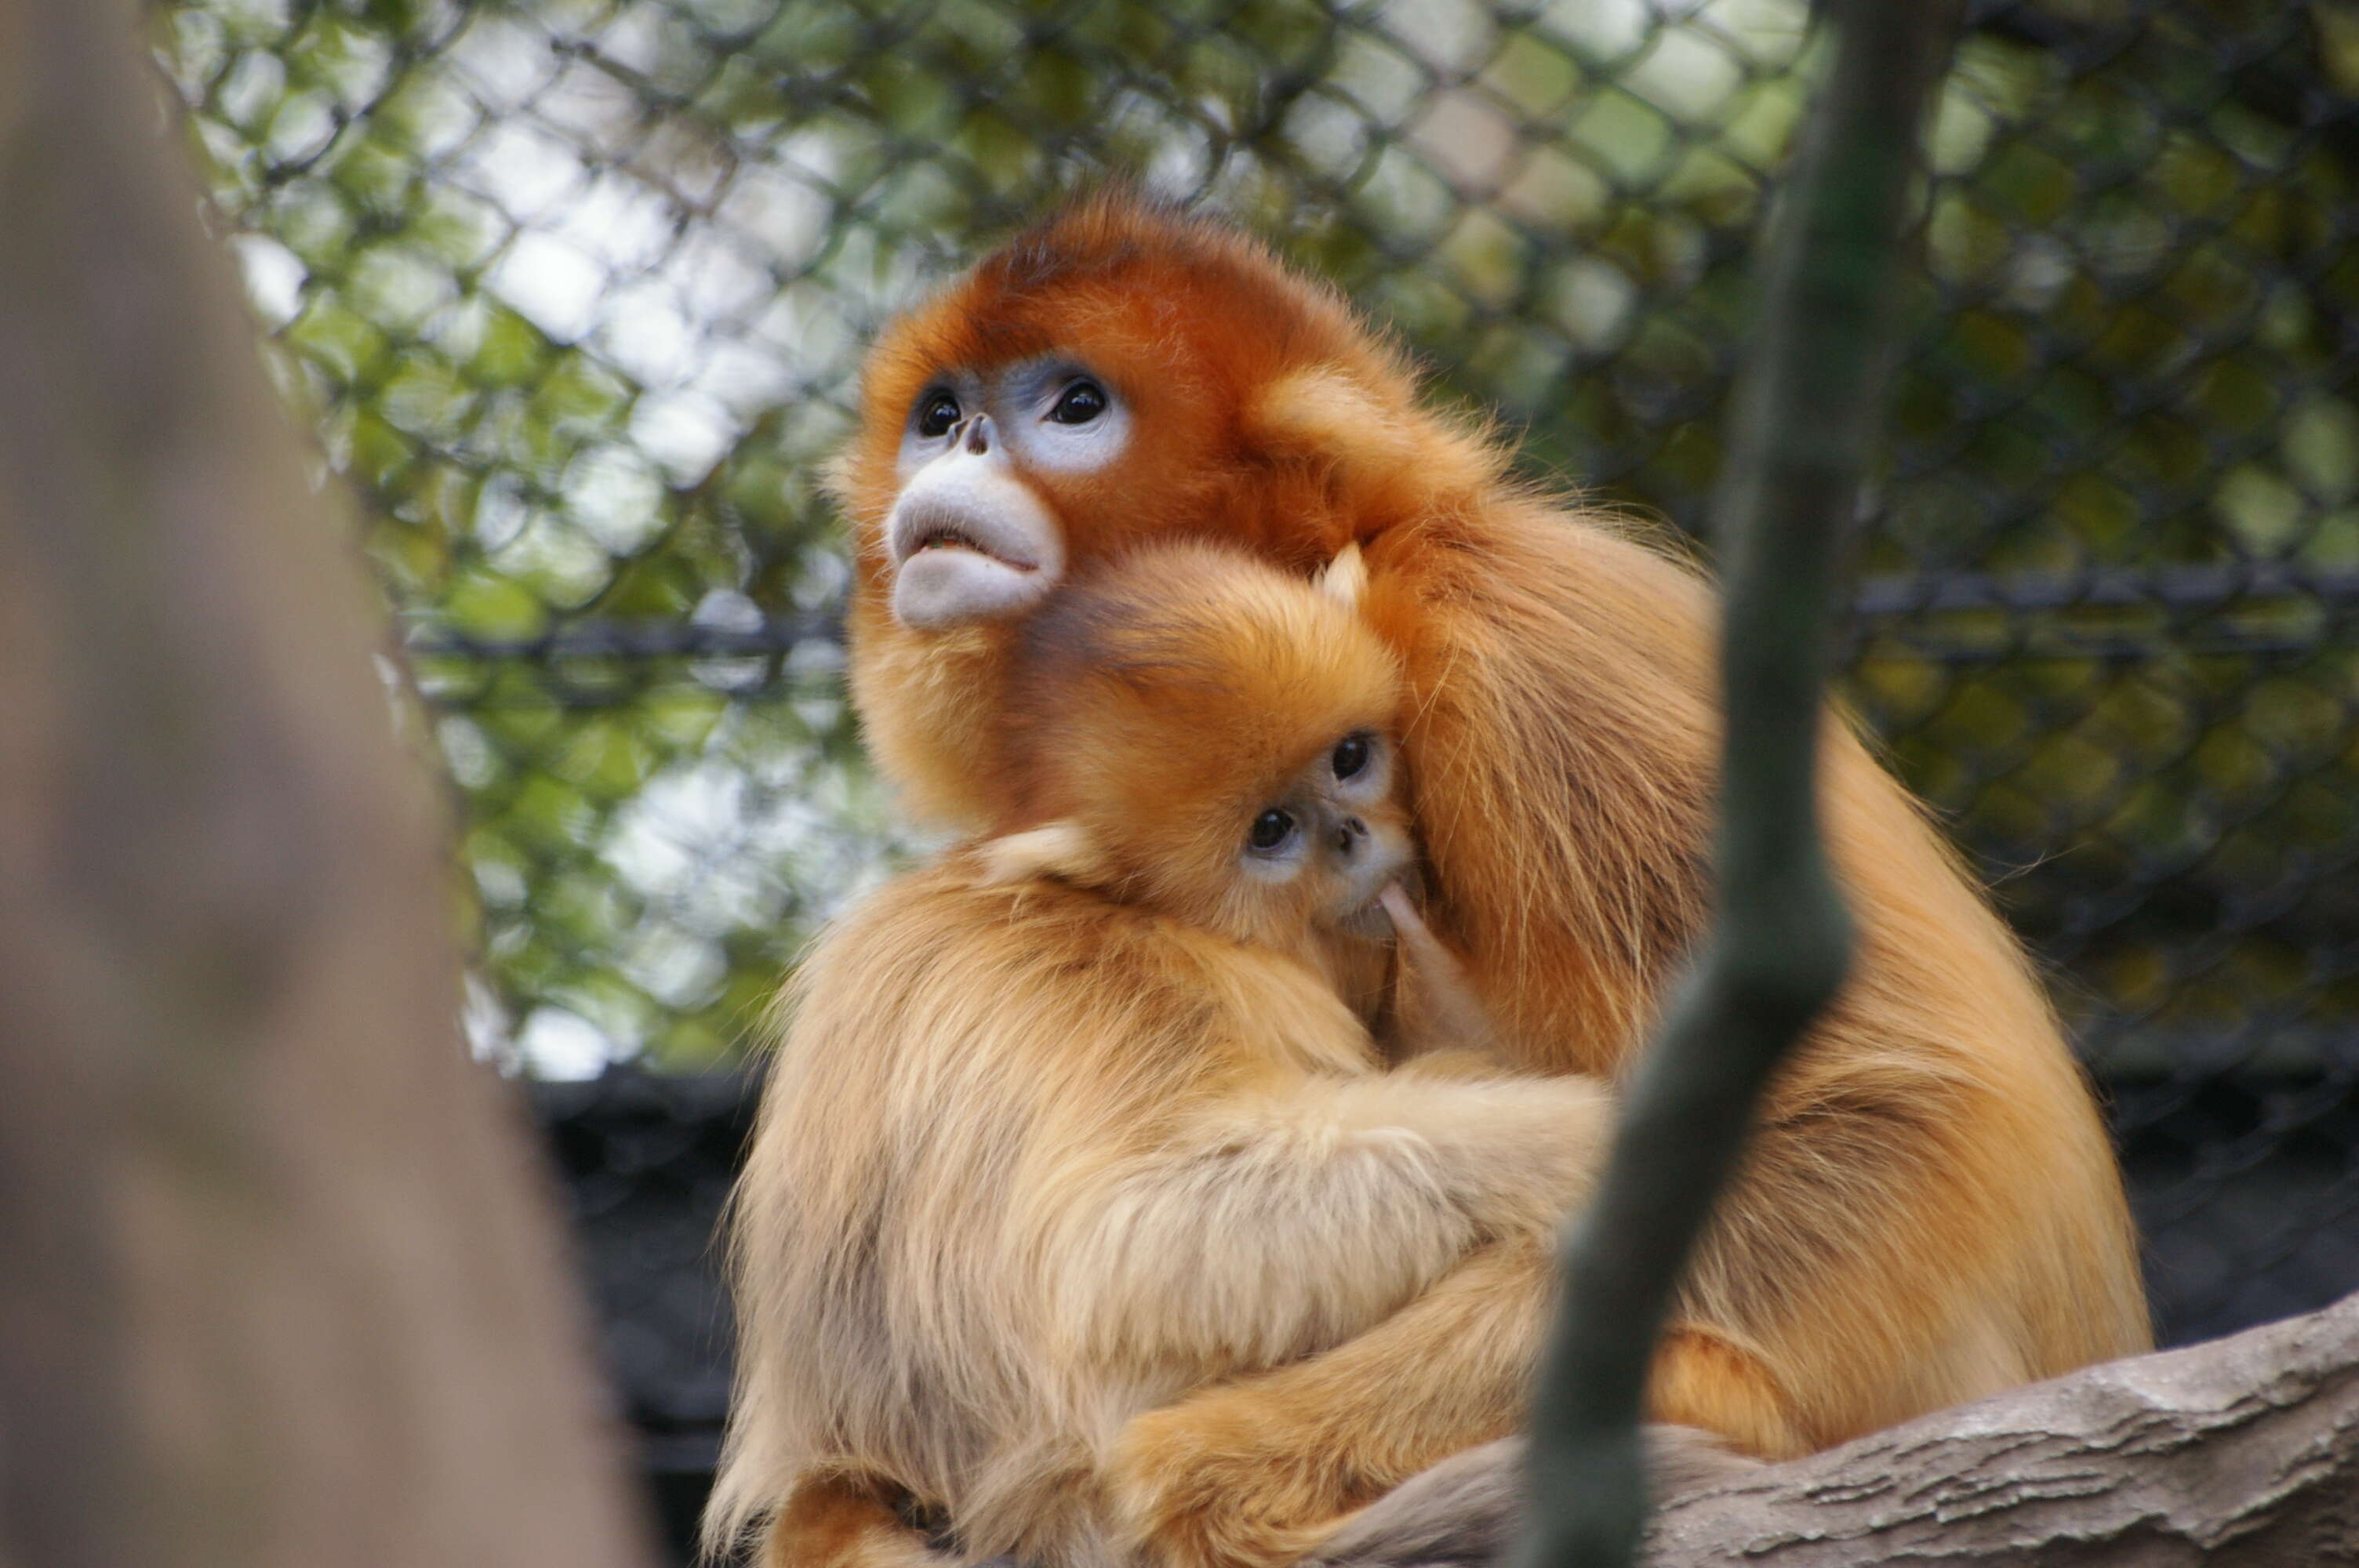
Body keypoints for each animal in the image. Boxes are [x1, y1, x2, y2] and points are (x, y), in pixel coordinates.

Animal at [707, 542, 1613, 1565]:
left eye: (1349, 759)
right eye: (1271, 831)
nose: (1350, 834)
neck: (1132, 909)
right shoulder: (1108, 982)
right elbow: (1125, 1237)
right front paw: (1593, 1132)